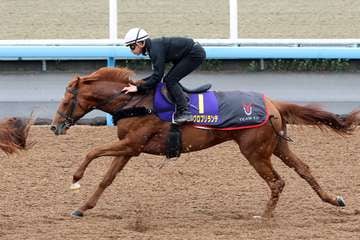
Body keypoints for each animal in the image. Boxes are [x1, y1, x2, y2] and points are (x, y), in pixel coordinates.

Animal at [51, 66, 360, 218]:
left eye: (65, 101)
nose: (54, 126)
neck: (135, 102)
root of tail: (273, 103)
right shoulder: (129, 148)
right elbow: (107, 179)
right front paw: (82, 208)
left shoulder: (133, 146)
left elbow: (92, 151)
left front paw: (76, 178)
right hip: (277, 146)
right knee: (304, 169)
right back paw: (334, 199)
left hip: (255, 152)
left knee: (277, 182)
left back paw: (265, 217)